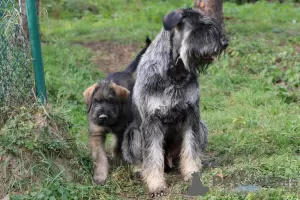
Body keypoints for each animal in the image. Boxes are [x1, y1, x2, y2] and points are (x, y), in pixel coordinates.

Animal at [83, 37, 151, 184]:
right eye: (96, 101)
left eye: (111, 101)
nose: (103, 117)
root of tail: (124, 71)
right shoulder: (96, 134)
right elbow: (100, 157)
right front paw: (100, 175)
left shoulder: (121, 130)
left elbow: (116, 145)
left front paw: (117, 159)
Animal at [122, 8, 227, 196]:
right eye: (200, 26)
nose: (225, 42)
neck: (175, 72)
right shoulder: (151, 121)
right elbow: (152, 156)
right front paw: (156, 185)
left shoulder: (192, 116)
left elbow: (191, 149)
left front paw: (192, 173)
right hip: (133, 134)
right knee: (140, 160)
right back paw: (139, 170)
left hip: (202, 127)